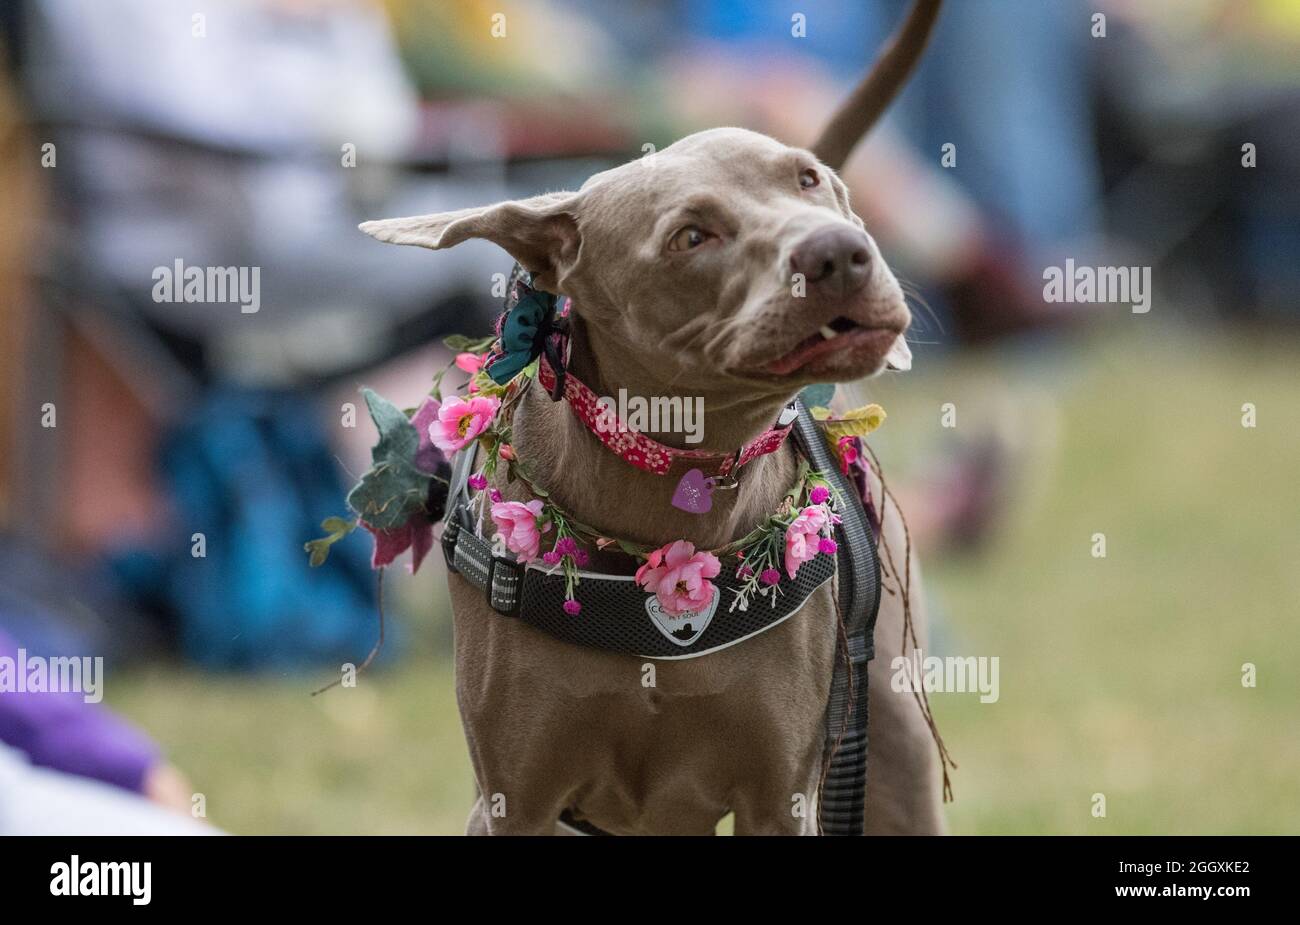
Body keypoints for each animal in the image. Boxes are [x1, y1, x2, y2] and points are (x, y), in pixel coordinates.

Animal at [361, 1, 951, 836]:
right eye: (691, 236)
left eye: (806, 178)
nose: (841, 251)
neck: (671, 508)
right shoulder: (514, 799)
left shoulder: (782, 797)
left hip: (892, 737)